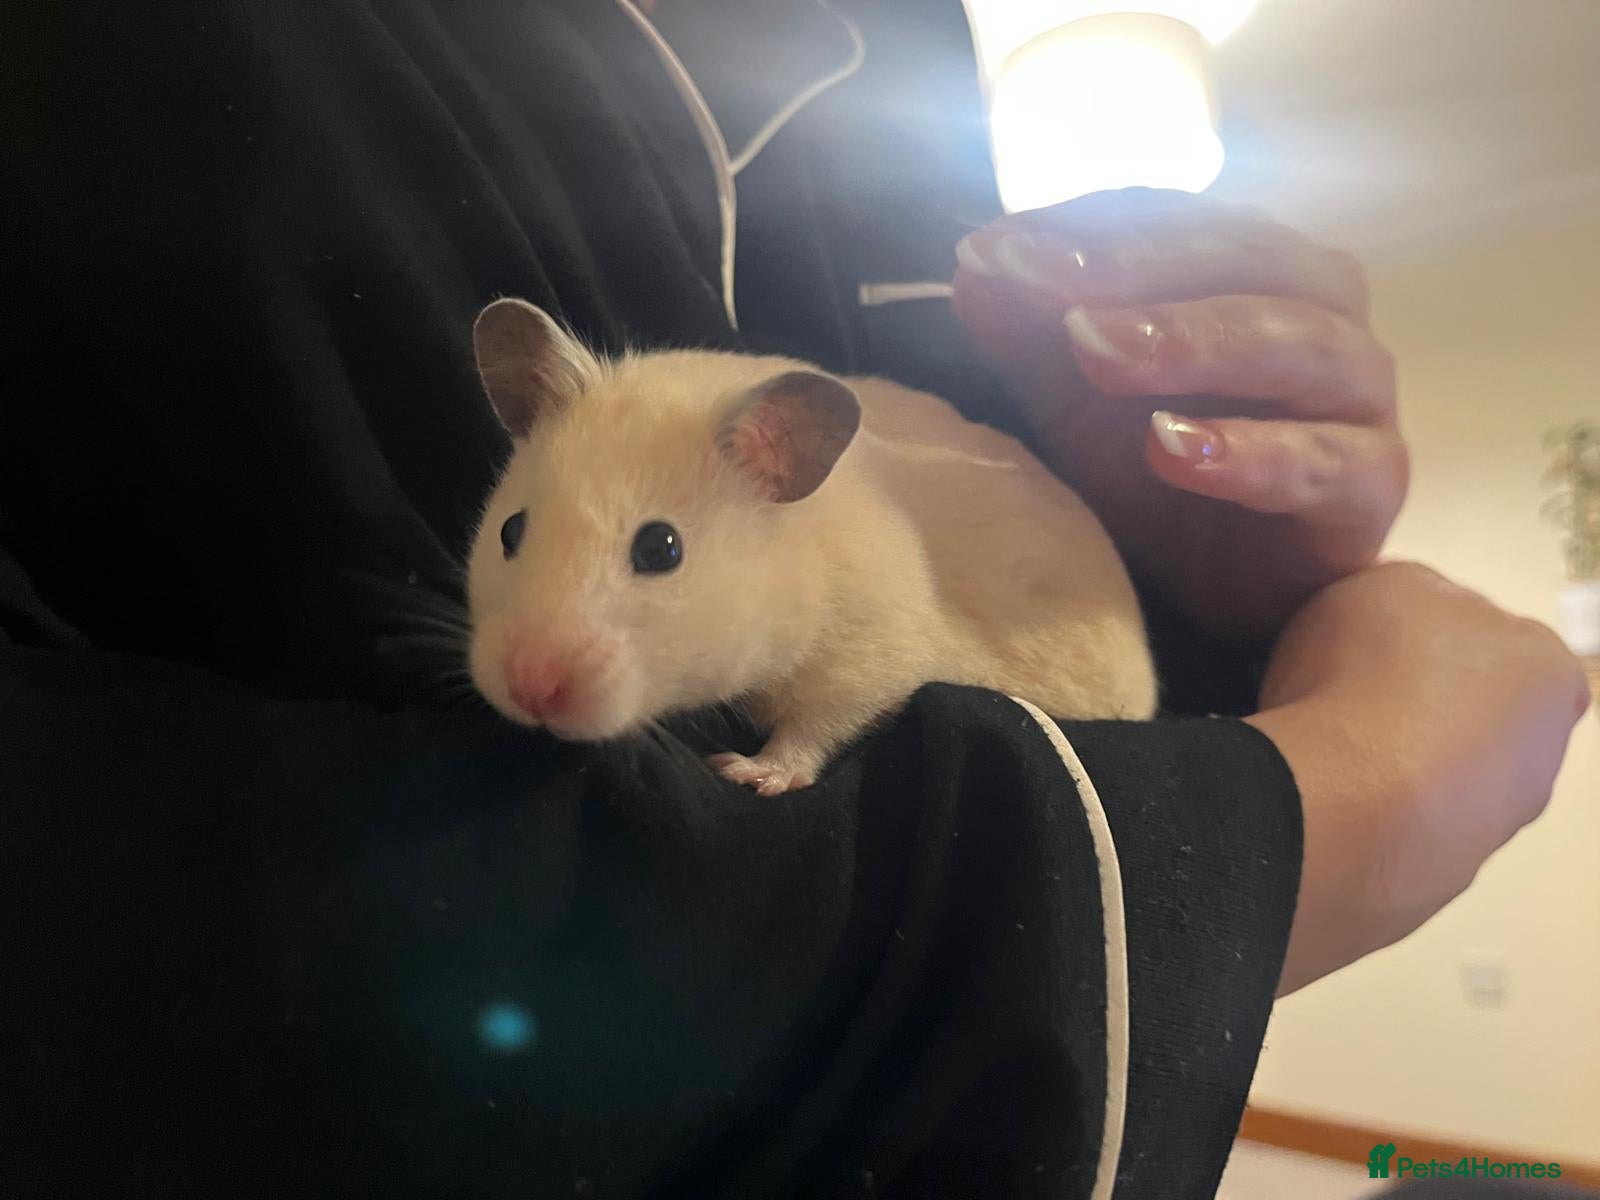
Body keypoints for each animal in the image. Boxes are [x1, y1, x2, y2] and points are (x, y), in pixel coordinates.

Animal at [465, 298, 1157, 795]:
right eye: (510, 531)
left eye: (661, 549)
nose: (529, 689)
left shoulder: (872, 655)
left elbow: (818, 725)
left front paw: (747, 773)